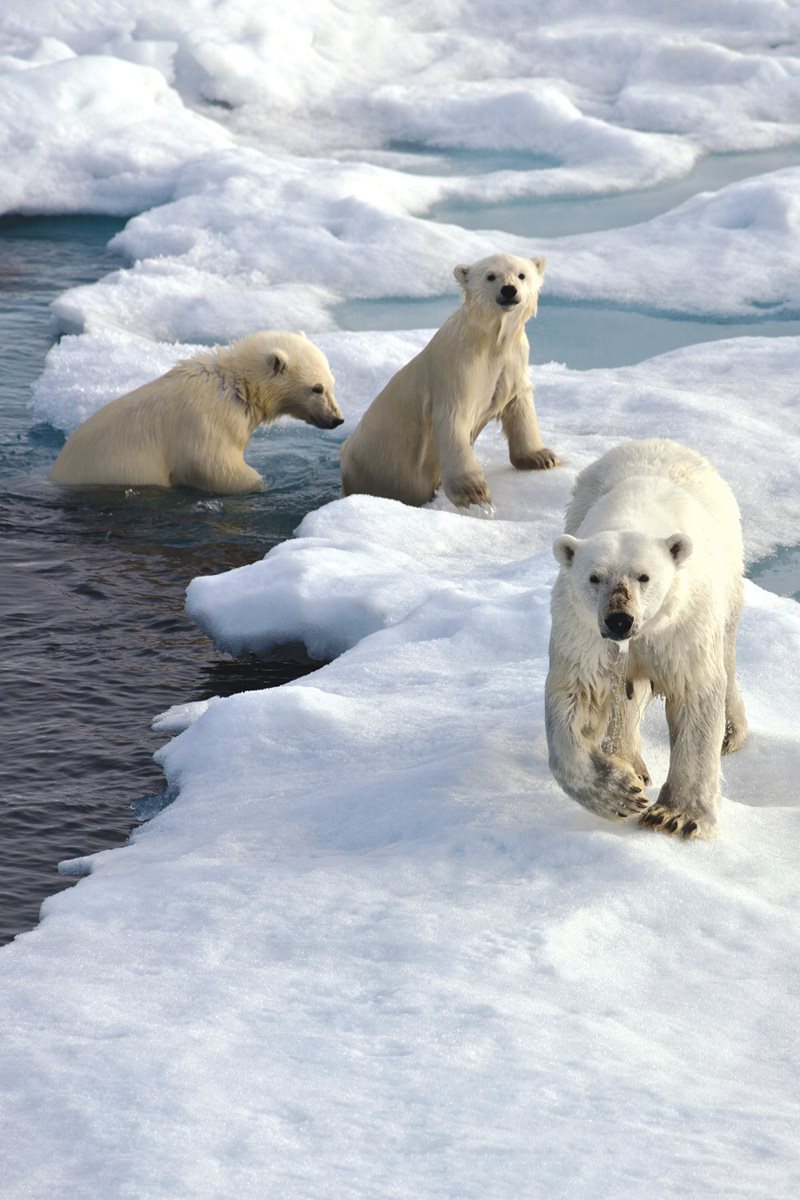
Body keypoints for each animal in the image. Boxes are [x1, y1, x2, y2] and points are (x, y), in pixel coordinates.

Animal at [49, 331, 345, 494]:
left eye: (332, 383)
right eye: (316, 388)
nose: (337, 419)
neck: (236, 386)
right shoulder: (206, 423)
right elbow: (215, 467)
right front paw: (261, 484)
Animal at [340, 255, 561, 508]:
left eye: (521, 275)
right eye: (490, 276)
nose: (509, 289)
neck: (490, 341)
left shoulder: (514, 360)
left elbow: (519, 403)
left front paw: (541, 456)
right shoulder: (459, 369)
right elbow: (454, 420)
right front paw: (473, 491)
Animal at [546, 436, 748, 840]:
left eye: (644, 576)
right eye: (595, 577)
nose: (619, 621)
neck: (634, 511)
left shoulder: (683, 623)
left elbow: (694, 693)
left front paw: (677, 816)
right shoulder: (582, 628)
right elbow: (576, 692)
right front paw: (620, 793)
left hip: (730, 580)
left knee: (727, 655)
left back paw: (731, 733)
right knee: (625, 694)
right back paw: (632, 763)